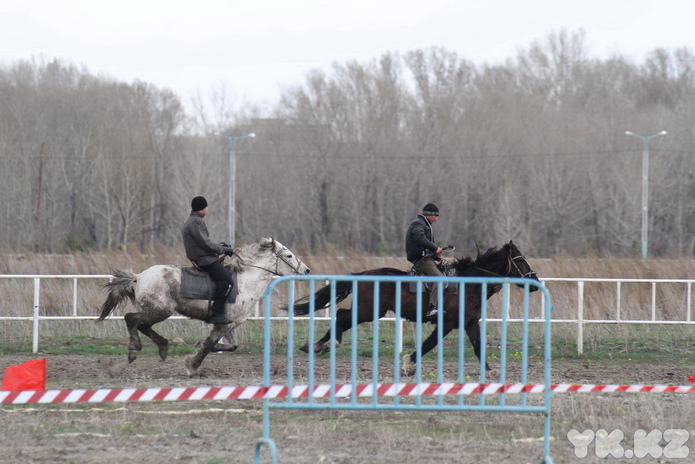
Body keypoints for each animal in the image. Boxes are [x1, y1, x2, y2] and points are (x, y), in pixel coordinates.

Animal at [288, 241, 540, 376]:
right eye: (520, 260)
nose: (535, 281)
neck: (468, 284)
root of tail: (364, 273)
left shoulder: (469, 323)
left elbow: (478, 347)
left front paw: (490, 372)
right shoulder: (447, 323)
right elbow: (429, 344)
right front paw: (409, 365)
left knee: (341, 316)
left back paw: (316, 346)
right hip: (368, 311)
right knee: (341, 316)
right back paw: (328, 344)